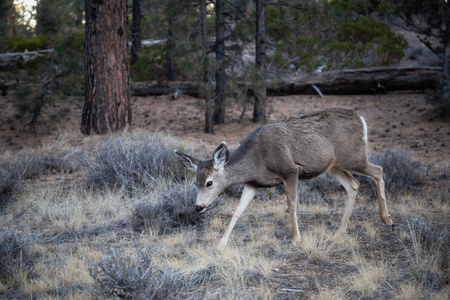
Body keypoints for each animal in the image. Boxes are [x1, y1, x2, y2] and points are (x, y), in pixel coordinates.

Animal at [176, 109, 394, 247]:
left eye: (209, 183)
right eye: (195, 183)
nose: (198, 206)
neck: (257, 159)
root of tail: (361, 119)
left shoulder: (291, 171)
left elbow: (292, 205)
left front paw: (296, 239)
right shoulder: (253, 183)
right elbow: (238, 210)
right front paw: (222, 243)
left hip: (352, 156)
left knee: (379, 170)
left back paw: (387, 219)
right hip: (334, 167)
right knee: (354, 185)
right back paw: (340, 231)